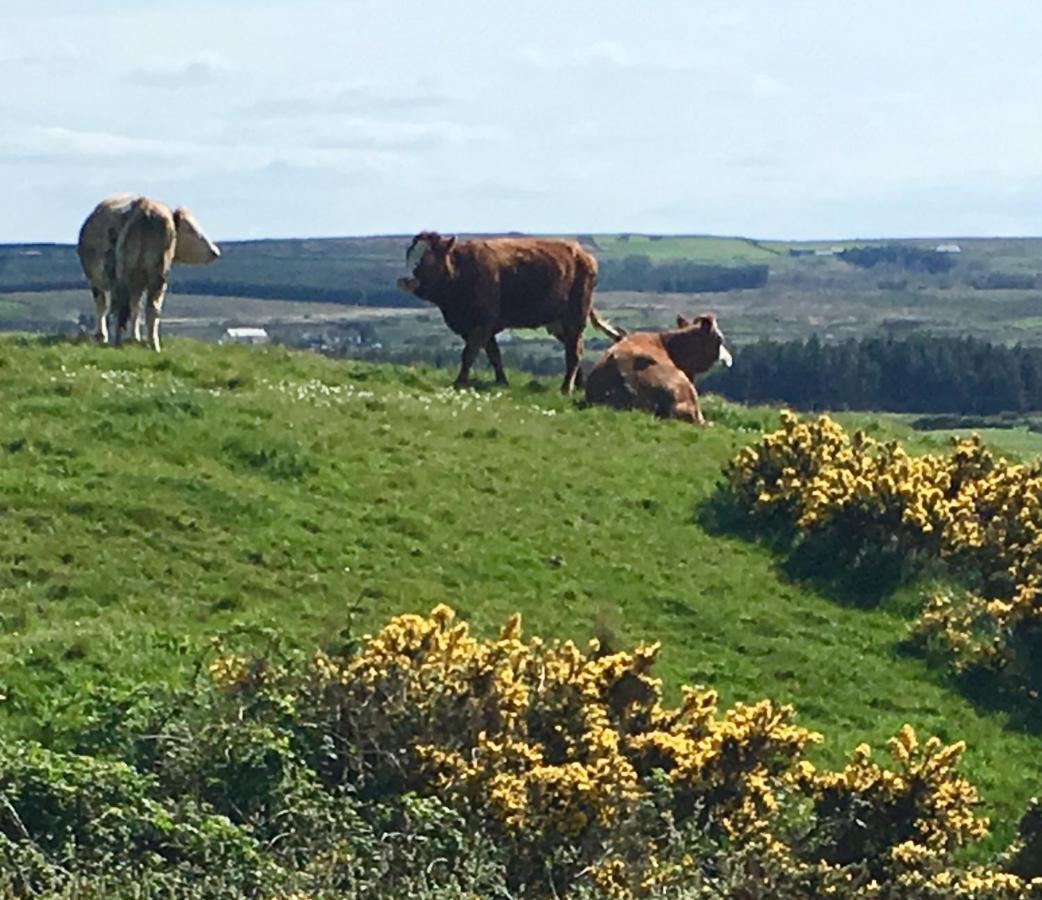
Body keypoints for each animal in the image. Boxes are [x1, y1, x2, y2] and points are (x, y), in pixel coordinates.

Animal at [79, 194, 221, 350]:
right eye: (191, 230)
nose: (215, 252)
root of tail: (146, 208)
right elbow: (132, 308)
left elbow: (120, 307)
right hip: (156, 275)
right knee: (149, 309)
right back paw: (152, 344)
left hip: (127, 277)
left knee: (121, 308)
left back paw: (120, 341)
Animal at [393, 230, 621, 391]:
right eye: (409, 257)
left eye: (427, 258)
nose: (406, 281)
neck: (461, 272)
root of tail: (582, 254)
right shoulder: (477, 327)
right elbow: (494, 354)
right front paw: (502, 382)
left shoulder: (482, 323)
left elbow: (469, 353)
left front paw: (459, 382)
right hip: (558, 322)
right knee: (575, 347)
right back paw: (578, 385)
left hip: (575, 315)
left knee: (573, 351)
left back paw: (566, 388)